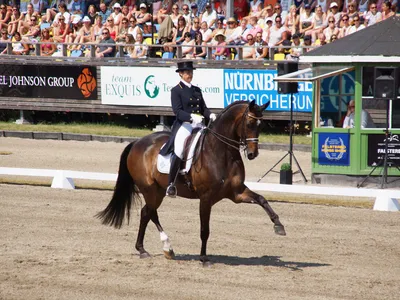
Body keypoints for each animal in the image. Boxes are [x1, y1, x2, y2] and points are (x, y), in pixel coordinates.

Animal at [95, 101, 286, 268]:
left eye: (261, 125)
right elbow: (204, 229)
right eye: (249, 122)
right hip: (150, 190)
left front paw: (279, 226)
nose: (253, 154)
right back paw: (166, 247)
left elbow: (261, 199)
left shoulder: (237, 193)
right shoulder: (206, 197)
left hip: (158, 191)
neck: (222, 152)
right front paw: (204, 259)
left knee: (146, 213)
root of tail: (137, 142)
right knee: (150, 213)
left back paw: (146, 249)